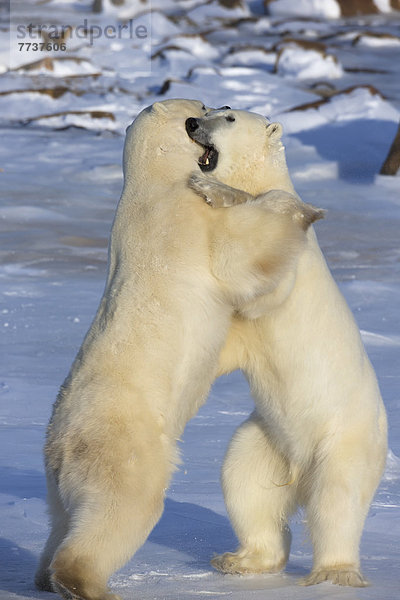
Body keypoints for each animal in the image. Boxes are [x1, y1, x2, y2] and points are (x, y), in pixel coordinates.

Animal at [34, 99, 322, 600]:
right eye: (203, 109)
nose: (211, 106)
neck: (146, 186)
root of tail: (63, 448)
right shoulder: (185, 219)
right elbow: (239, 255)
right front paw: (295, 209)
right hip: (128, 449)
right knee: (120, 511)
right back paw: (87, 583)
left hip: (59, 476)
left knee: (62, 518)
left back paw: (44, 576)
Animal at [187, 108, 388, 584]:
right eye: (208, 109)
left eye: (227, 115)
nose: (191, 123)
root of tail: (299, 472)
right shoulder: (249, 335)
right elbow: (231, 341)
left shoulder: (292, 262)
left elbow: (266, 269)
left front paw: (210, 188)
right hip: (266, 437)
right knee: (244, 480)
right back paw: (240, 560)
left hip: (343, 438)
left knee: (336, 499)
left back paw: (334, 573)